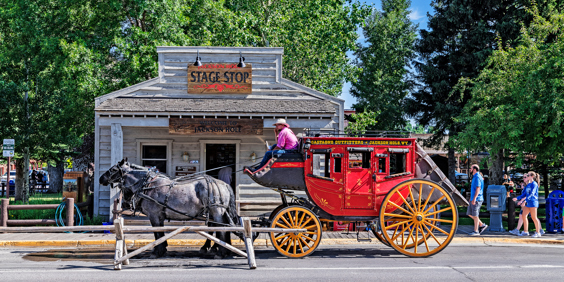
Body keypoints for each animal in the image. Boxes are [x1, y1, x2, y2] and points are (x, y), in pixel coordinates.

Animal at [99, 159, 238, 258]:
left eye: (113, 169)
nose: (101, 178)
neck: (147, 185)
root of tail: (223, 184)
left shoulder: (154, 216)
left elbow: (157, 233)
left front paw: (157, 251)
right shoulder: (159, 216)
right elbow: (160, 233)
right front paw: (161, 248)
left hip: (217, 211)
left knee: (221, 228)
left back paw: (221, 252)